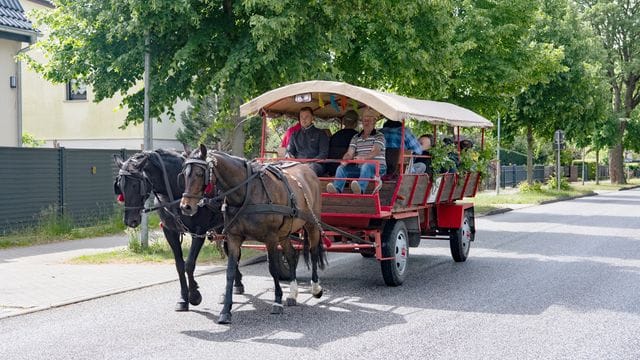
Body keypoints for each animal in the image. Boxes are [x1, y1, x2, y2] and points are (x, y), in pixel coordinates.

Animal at [114, 148, 246, 310]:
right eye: (120, 186)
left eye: (135, 185)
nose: (130, 221)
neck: (177, 192)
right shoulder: (169, 231)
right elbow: (179, 265)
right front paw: (183, 298)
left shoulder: (199, 231)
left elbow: (189, 264)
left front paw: (194, 295)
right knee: (230, 253)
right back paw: (236, 284)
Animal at [180, 145, 328, 324]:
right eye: (184, 173)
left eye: (199, 174)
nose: (186, 207)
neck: (247, 192)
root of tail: (307, 169)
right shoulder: (234, 237)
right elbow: (230, 271)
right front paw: (226, 311)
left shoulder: (270, 238)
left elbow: (273, 268)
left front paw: (277, 301)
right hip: (285, 232)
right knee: (291, 255)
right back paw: (292, 293)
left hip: (312, 224)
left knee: (313, 252)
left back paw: (316, 288)